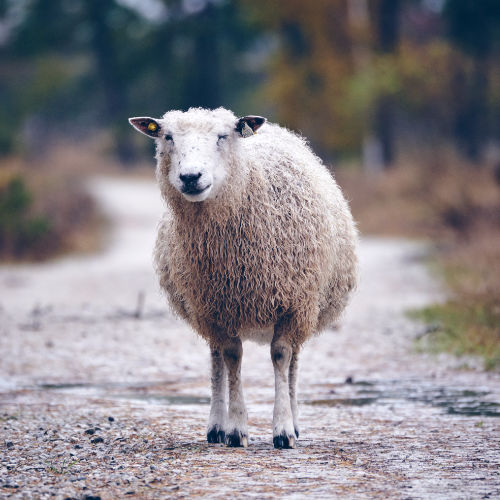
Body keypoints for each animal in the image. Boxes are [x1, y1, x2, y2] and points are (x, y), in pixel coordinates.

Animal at [128, 106, 356, 450]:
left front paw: (283, 429)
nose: (191, 177)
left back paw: (295, 421)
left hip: (307, 307)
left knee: (293, 362)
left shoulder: (293, 303)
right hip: (207, 309)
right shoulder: (219, 307)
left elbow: (281, 356)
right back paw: (216, 427)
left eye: (223, 136)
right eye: (167, 137)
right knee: (216, 359)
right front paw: (235, 429)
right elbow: (232, 358)